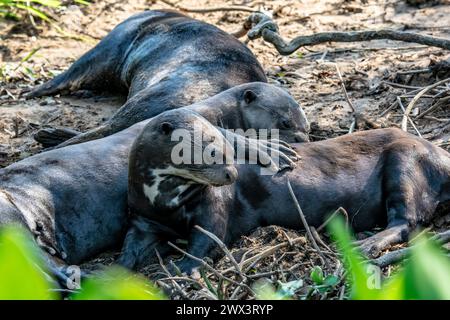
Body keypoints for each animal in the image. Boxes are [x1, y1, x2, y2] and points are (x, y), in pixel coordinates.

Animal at [121, 110, 450, 272]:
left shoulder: (213, 204)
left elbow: (209, 236)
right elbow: (130, 244)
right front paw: (117, 270)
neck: (164, 201)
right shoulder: (143, 217)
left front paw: (185, 266)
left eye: (227, 146)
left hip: (406, 159)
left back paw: (365, 245)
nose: (232, 173)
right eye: (211, 151)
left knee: (408, 221)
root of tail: (441, 153)